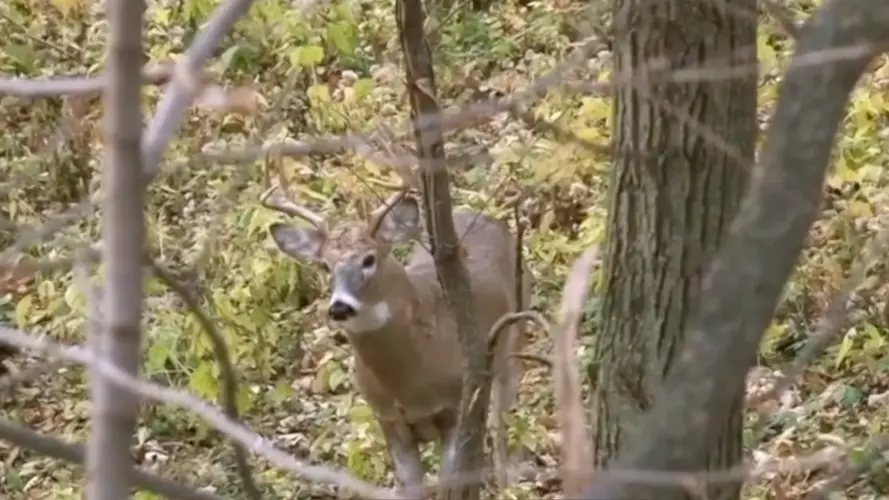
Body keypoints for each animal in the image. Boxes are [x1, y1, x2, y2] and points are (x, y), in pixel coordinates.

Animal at [261, 172, 532, 497]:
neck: (411, 382)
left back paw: (505, 483)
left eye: (369, 259)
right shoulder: (388, 419)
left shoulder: (453, 408)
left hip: (513, 341)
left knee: (498, 420)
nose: (339, 306)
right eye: (325, 265)